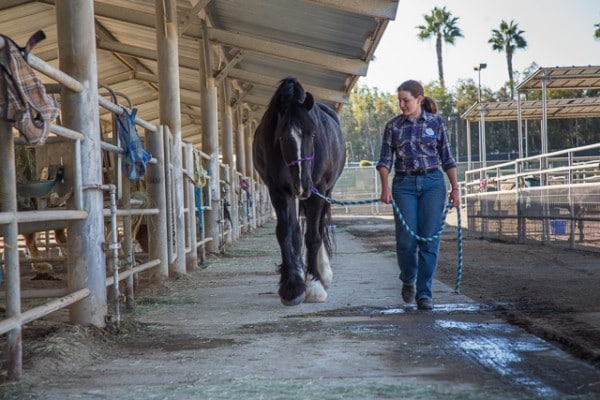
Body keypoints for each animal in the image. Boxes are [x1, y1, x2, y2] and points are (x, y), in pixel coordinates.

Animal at [253, 76, 346, 306]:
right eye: (282, 137)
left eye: (312, 134)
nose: (303, 184)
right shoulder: (278, 190)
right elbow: (286, 232)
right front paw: (292, 287)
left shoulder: (318, 189)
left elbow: (313, 235)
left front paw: (314, 285)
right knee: (295, 231)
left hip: (326, 192)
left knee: (319, 227)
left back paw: (323, 274)